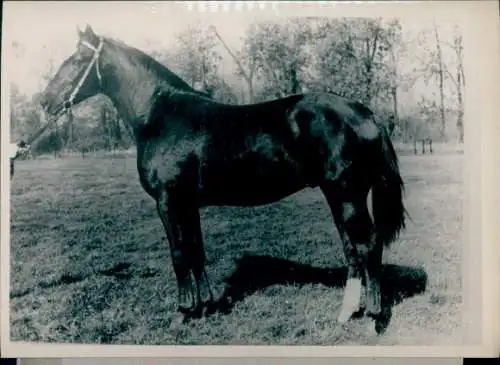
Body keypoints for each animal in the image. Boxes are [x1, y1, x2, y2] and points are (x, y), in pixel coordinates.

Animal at [40, 24, 406, 332]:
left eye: (79, 59)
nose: (45, 102)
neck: (161, 116)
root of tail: (364, 112)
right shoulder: (188, 205)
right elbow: (196, 252)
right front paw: (206, 305)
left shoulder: (168, 202)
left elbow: (179, 254)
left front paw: (184, 311)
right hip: (340, 196)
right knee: (352, 248)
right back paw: (347, 312)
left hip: (346, 195)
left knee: (368, 245)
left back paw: (373, 316)